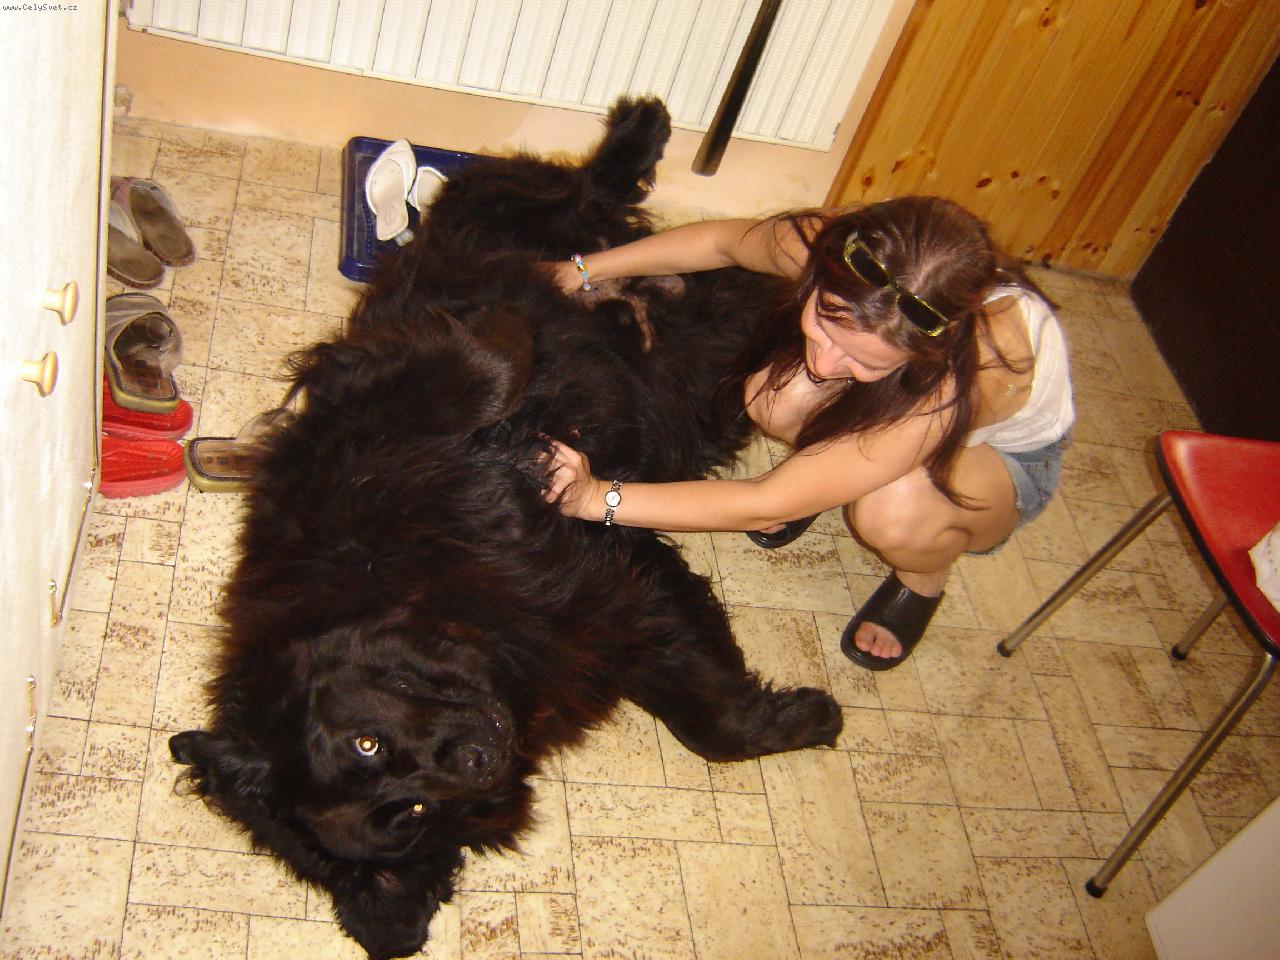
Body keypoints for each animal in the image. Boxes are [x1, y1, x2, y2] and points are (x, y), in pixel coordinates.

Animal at [170, 97, 842, 960]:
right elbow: (709, 723)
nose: (477, 758)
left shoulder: (403, 401)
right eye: (412, 809)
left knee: (582, 199)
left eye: (365, 743)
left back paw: (643, 138)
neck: (395, 582)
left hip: (531, 225)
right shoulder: (607, 607)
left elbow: (490, 354)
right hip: (707, 371)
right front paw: (801, 718)